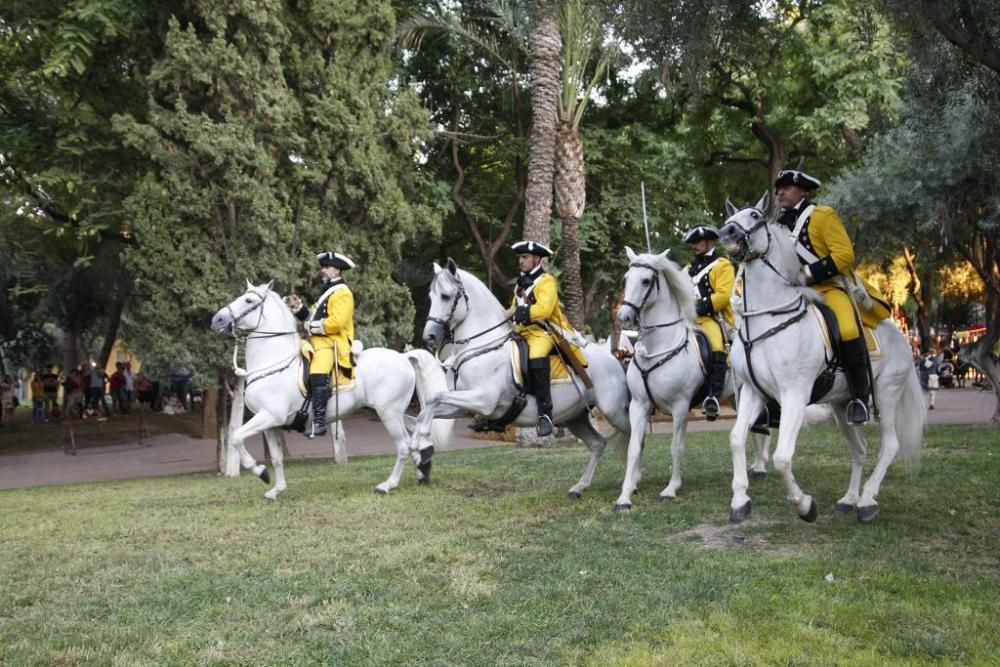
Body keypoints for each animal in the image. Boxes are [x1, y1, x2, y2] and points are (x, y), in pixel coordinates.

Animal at [211, 280, 454, 498]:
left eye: (249, 300)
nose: (217, 319)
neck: (273, 362)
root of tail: (404, 356)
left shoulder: (269, 416)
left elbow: (236, 437)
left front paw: (260, 472)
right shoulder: (271, 424)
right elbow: (276, 458)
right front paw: (276, 489)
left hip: (389, 413)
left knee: (403, 446)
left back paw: (388, 485)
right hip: (389, 411)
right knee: (415, 431)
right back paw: (423, 468)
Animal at [410, 260, 628, 500]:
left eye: (446, 296)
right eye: (431, 296)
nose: (429, 337)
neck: (482, 347)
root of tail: (613, 358)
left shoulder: (482, 401)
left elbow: (434, 398)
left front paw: (422, 446)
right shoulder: (464, 406)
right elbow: (426, 410)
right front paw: (419, 455)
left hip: (614, 412)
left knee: (634, 435)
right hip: (575, 417)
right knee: (599, 444)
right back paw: (579, 487)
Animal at [612, 248, 768, 508]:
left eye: (646, 281)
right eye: (625, 279)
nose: (624, 317)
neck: (657, 348)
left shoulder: (680, 406)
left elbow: (676, 447)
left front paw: (671, 488)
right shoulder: (639, 405)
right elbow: (635, 447)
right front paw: (626, 494)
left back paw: (761, 467)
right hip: (738, 397)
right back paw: (756, 466)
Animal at [720, 192, 920, 520]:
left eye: (754, 215)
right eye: (728, 219)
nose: (727, 233)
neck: (767, 319)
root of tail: (902, 337)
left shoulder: (794, 395)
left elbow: (782, 457)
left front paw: (804, 506)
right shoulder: (753, 391)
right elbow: (737, 439)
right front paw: (739, 500)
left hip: (887, 393)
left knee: (889, 445)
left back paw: (866, 500)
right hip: (842, 405)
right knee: (859, 448)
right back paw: (849, 498)